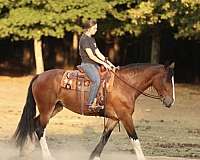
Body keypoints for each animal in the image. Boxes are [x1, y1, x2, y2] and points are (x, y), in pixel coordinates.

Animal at [13, 62, 175, 160]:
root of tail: (39, 76)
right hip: (47, 109)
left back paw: (28, 150)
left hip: (55, 107)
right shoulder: (125, 117)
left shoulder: (114, 119)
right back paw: (47, 156)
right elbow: (134, 139)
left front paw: (94, 156)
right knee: (40, 127)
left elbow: (104, 137)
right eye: (167, 80)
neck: (124, 85)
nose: (170, 102)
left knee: (35, 123)